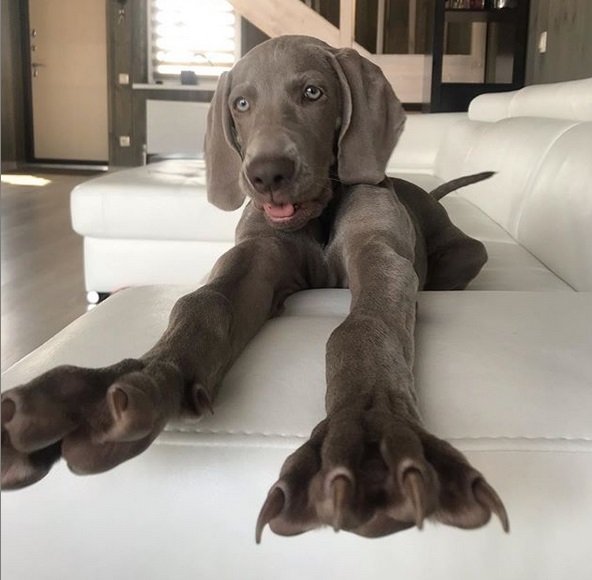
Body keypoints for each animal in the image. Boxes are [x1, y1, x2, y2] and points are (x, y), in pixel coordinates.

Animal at [1, 36, 508, 540]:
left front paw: (370, 434)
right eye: (241, 104)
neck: (319, 213)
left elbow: (363, 327)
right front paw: (127, 384)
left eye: (312, 93)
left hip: (468, 254)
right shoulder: (257, 254)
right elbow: (202, 302)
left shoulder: (380, 255)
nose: (266, 175)